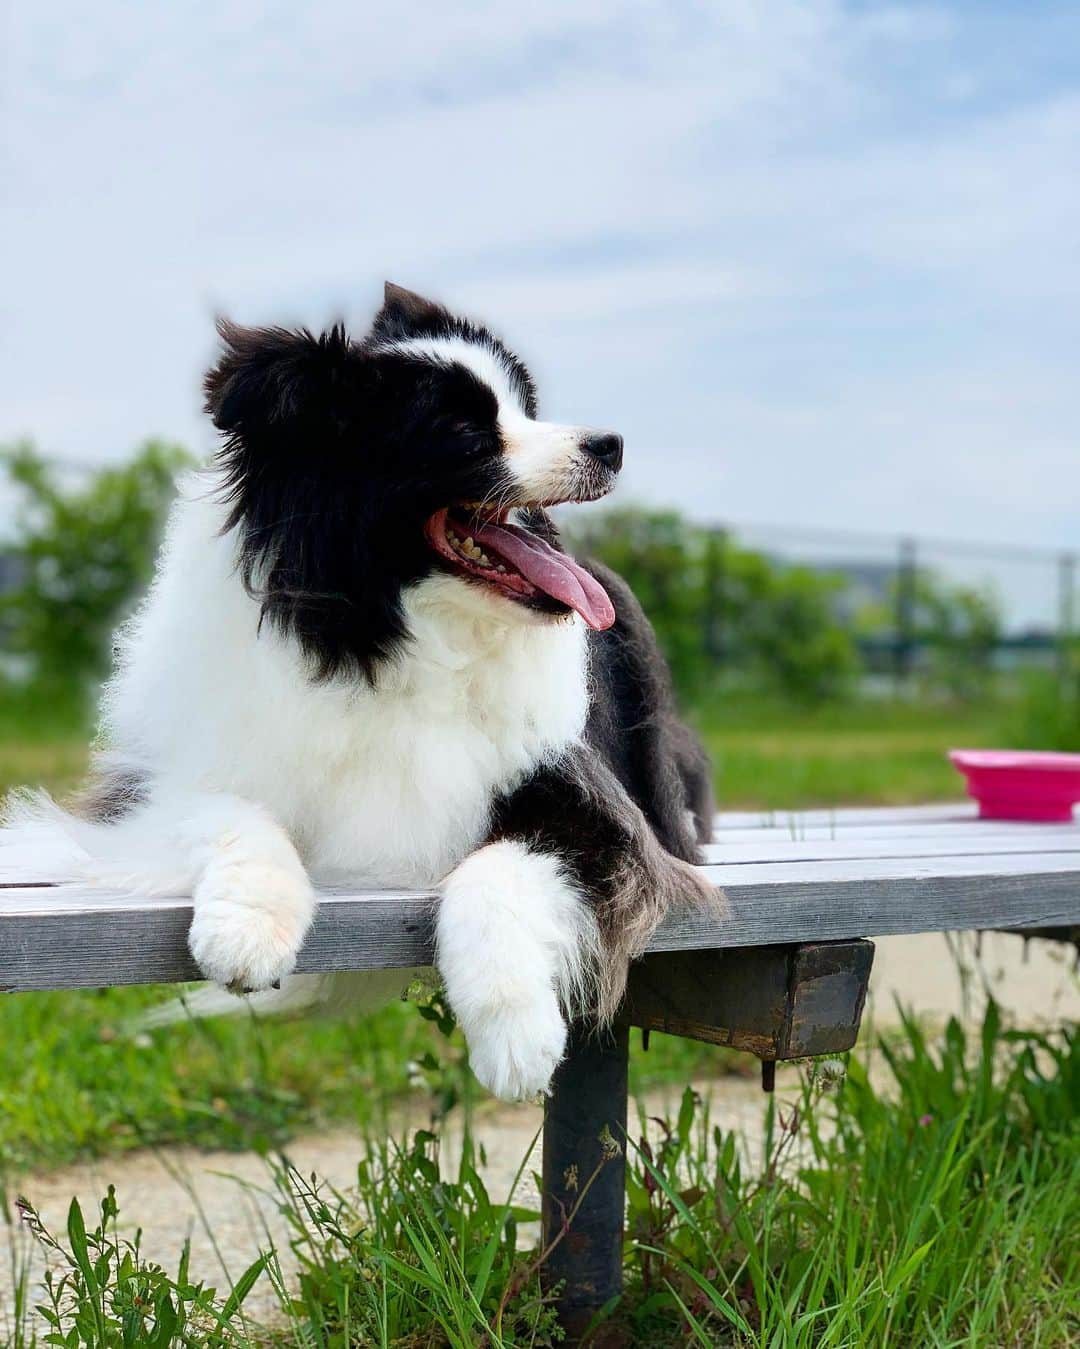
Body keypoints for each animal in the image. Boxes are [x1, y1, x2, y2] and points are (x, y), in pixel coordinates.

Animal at [6, 281, 722, 1095]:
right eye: (464, 430)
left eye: (525, 406)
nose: (610, 444)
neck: (399, 642)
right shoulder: (145, 794)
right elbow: (231, 813)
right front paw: (247, 928)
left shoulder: (602, 816)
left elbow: (500, 867)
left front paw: (516, 1030)